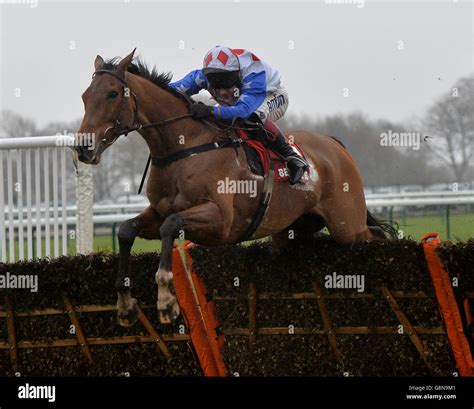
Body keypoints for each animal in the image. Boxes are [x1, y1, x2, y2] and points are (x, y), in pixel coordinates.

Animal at [77, 50, 396, 326]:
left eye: (112, 93)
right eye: (84, 96)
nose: (83, 147)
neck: (183, 146)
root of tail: (334, 144)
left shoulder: (220, 221)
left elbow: (171, 225)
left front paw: (166, 300)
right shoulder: (157, 211)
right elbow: (126, 229)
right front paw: (125, 305)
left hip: (347, 226)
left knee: (373, 235)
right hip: (292, 231)